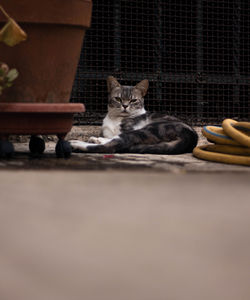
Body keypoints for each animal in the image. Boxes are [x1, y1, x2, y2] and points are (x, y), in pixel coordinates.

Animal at [69, 76, 198, 154]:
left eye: (133, 100)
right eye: (118, 99)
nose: (125, 106)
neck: (116, 119)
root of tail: (191, 138)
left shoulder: (130, 128)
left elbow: (115, 138)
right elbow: (110, 136)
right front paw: (100, 138)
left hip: (148, 129)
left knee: (116, 144)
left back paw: (76, 143)